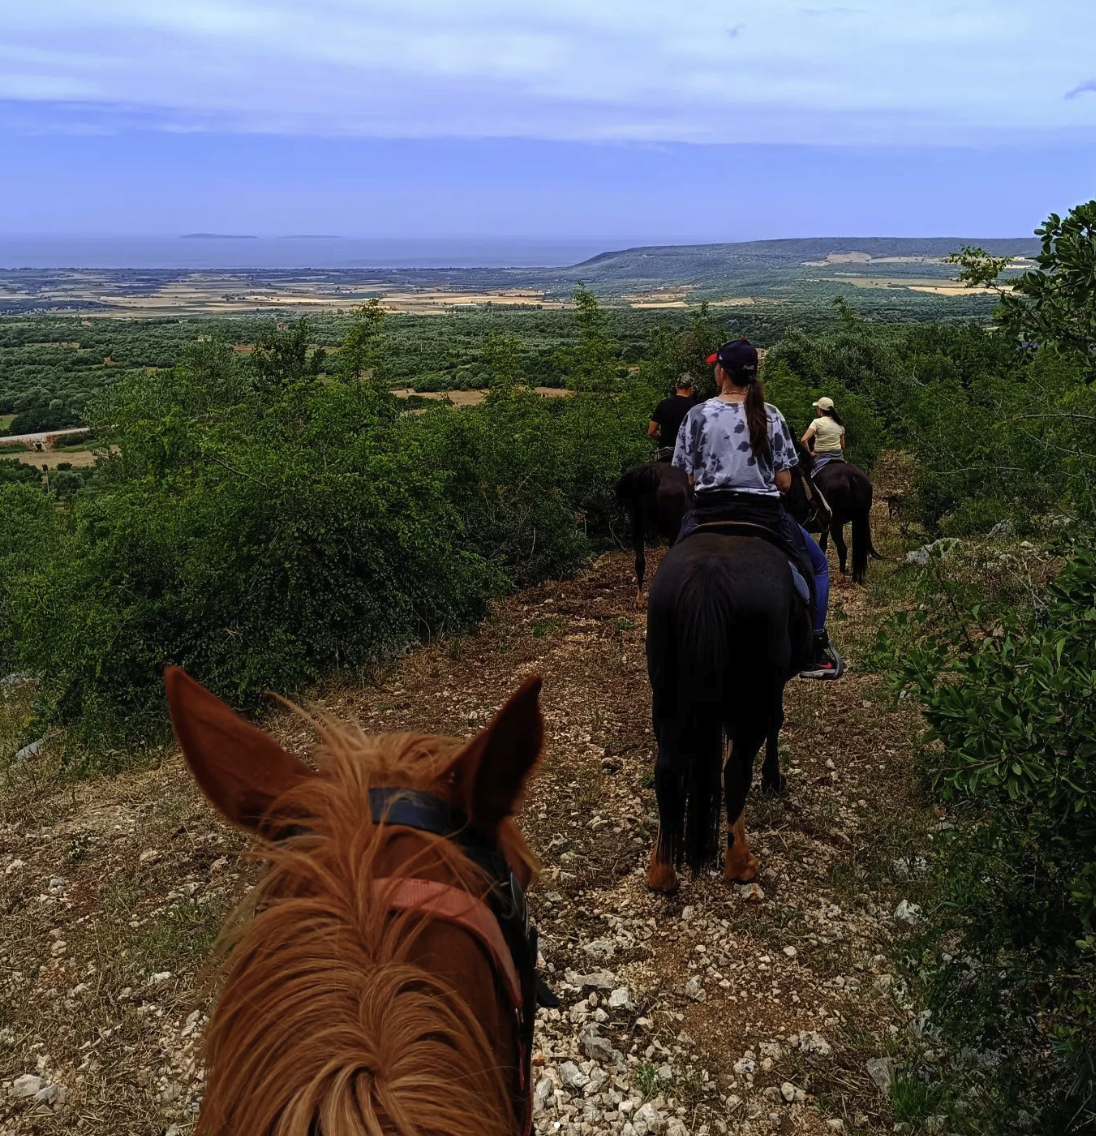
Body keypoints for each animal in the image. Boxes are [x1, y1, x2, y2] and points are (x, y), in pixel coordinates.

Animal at [645, 465, 817, 890]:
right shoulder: (773, 686)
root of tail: (709, 576)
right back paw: (740, 863)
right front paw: (773, 779)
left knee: (668, 768)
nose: (813, 515)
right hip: (753, 689)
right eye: (799, 474)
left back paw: (662, 870)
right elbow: (775, 724)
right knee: (736, 770)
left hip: (665, 693)